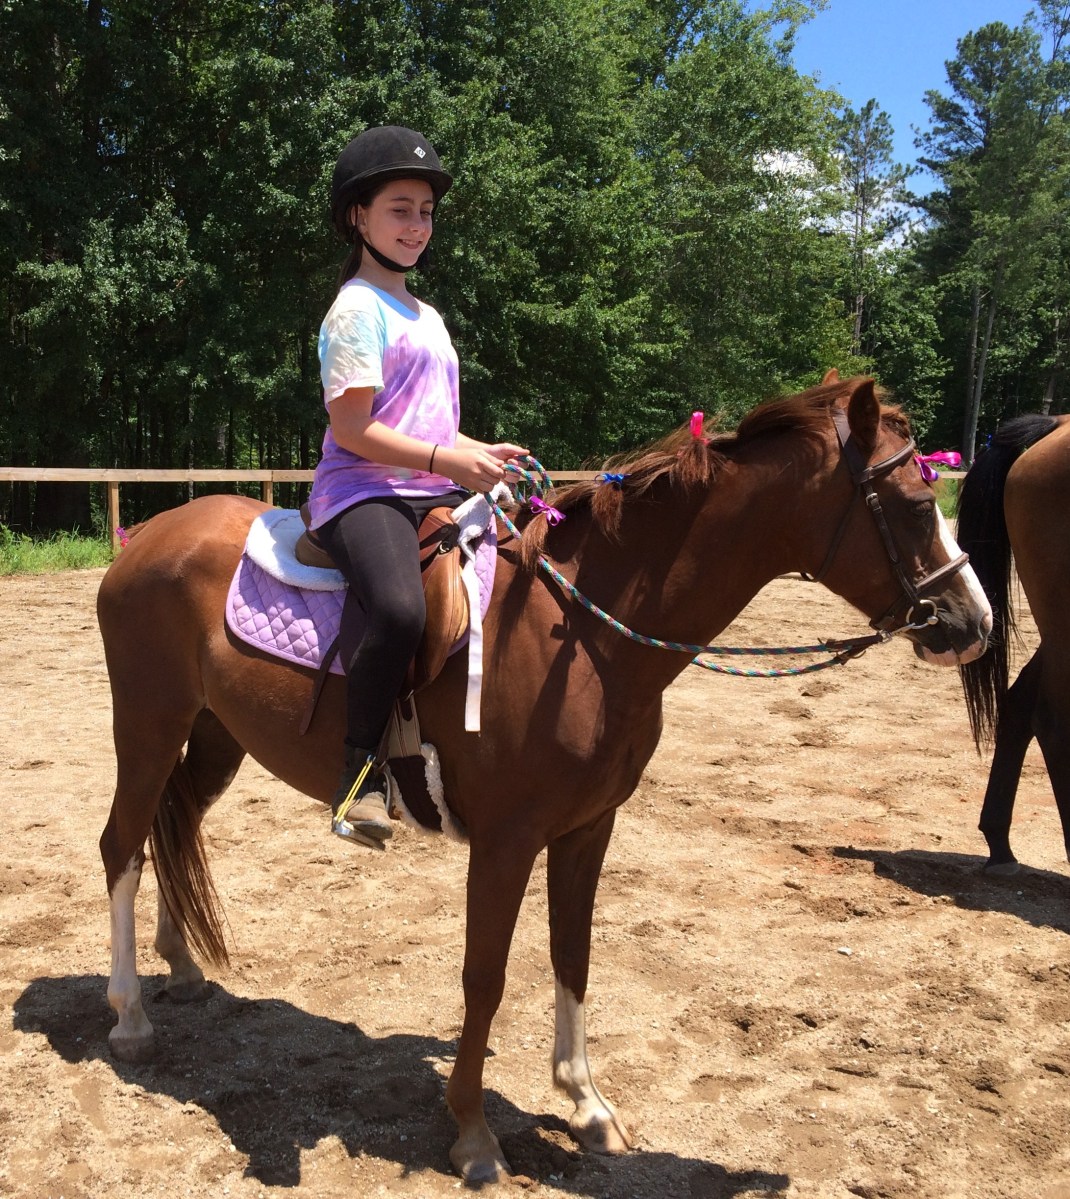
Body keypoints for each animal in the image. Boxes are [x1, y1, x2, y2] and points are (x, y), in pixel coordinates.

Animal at [97, 374, 992, 1183]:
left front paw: (587, 1104)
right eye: (917, 504)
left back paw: (181, 966)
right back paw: (130, 1016)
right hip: (147, 728)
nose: (973, 622)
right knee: (121, 846)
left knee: (177, 822)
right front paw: (473, 1133)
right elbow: (484, 977)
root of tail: (148, 538)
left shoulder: (588, 827)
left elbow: (573, 953)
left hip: (215, 734)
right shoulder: (506, 840)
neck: (585, 632)